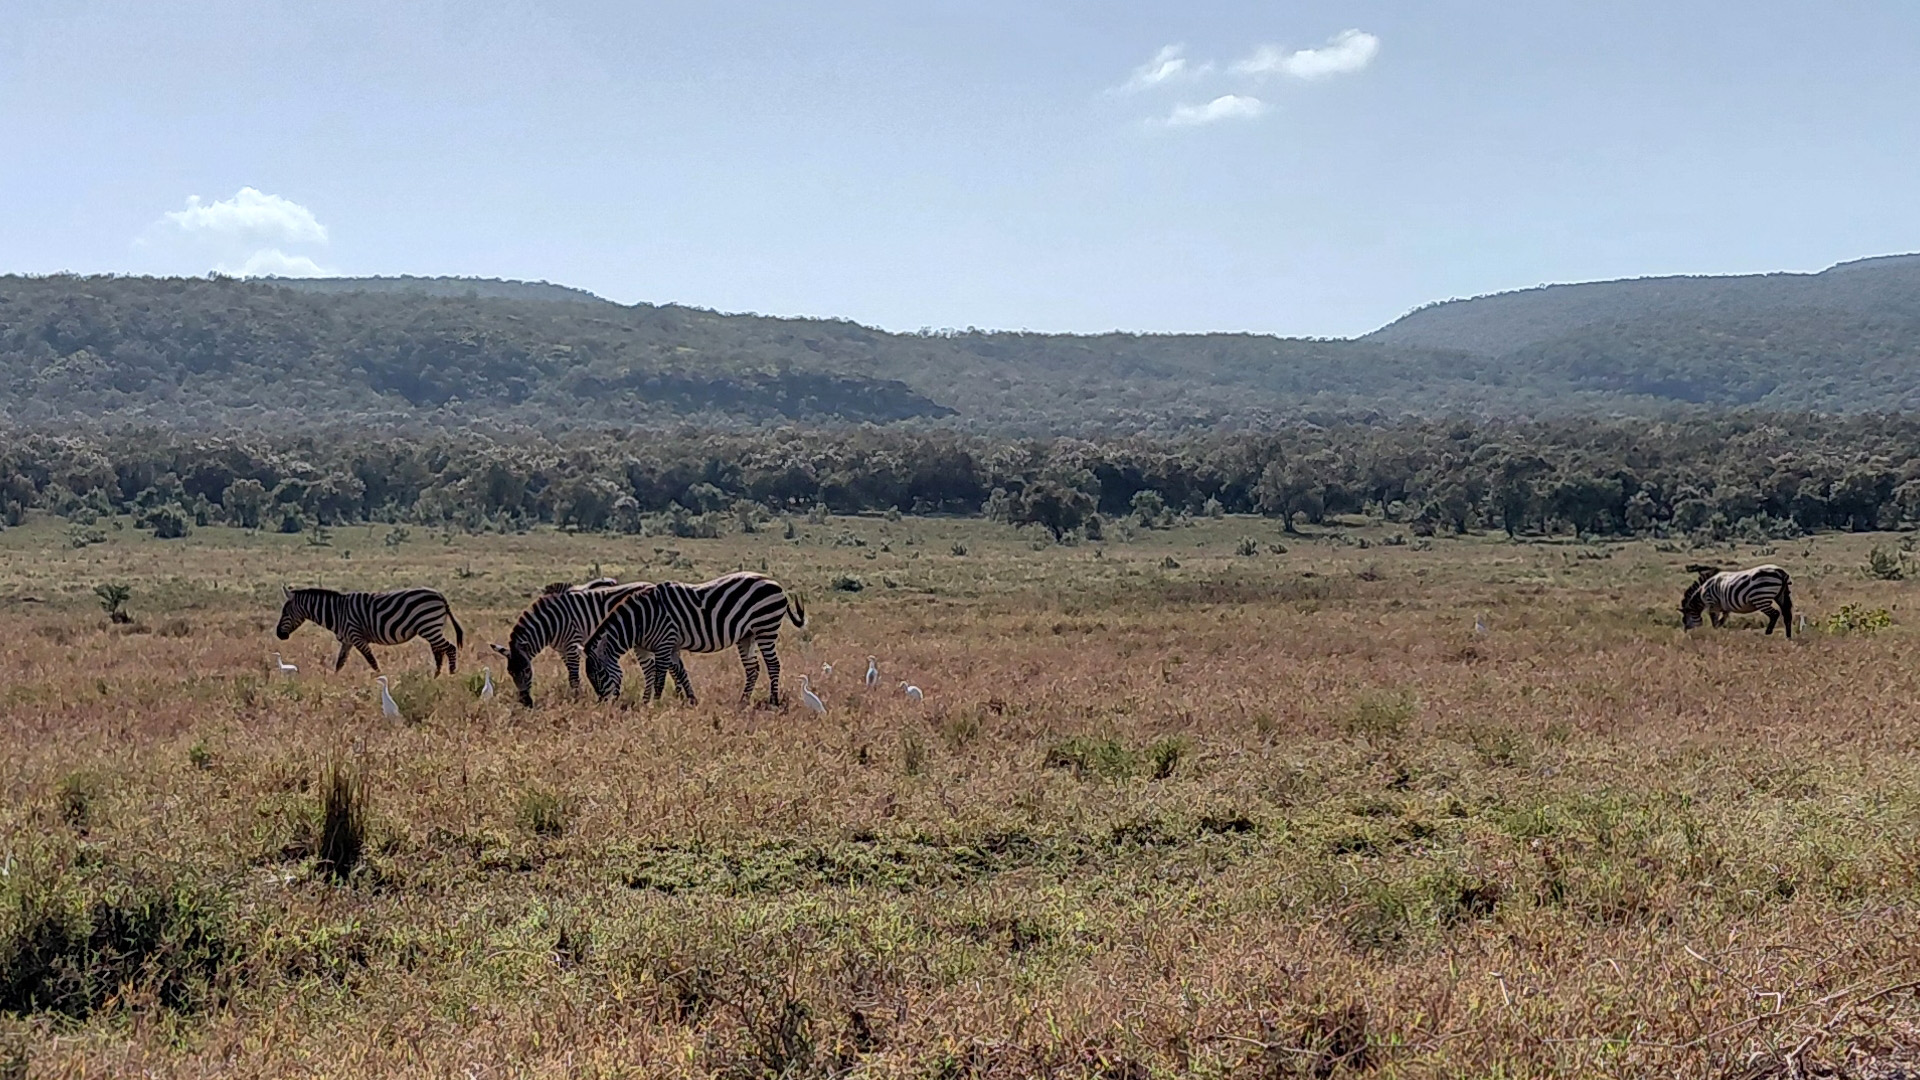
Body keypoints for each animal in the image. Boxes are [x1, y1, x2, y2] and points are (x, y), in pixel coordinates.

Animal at [275, 586, 467, 673]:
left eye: (285, 612)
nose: (279, 634)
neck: (337, 612)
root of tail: (441, 596)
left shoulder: (357, 636)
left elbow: (372, 661)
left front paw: (380, 678)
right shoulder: (347, 640)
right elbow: (340, 663)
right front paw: (334, 681)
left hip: (429, 626)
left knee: (449, 648)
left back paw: (451, 675)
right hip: (432, 628)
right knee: (439, 653)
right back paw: (436, 677)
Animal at [489, 578, 654, 706]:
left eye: (527, 671)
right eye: (510, 673)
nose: (526, 703)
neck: (550, 624)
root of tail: (650, 584)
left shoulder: (572, 644)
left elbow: (573, 677)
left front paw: (577, 700)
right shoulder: (562, 650)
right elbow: (571, 675)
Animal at [581, 572, 807, 706]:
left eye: (599, 674)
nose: (603, 704)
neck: (640, 620)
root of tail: (777, 585)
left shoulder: (665, 642)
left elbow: (660, 676)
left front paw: (656, 703)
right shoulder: (663, 646)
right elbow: (678, 672)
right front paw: (689, 700)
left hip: (766, 627)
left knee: (773, 665)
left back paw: (773, 700)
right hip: (747, 635)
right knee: (753, 668)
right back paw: (743, 700)